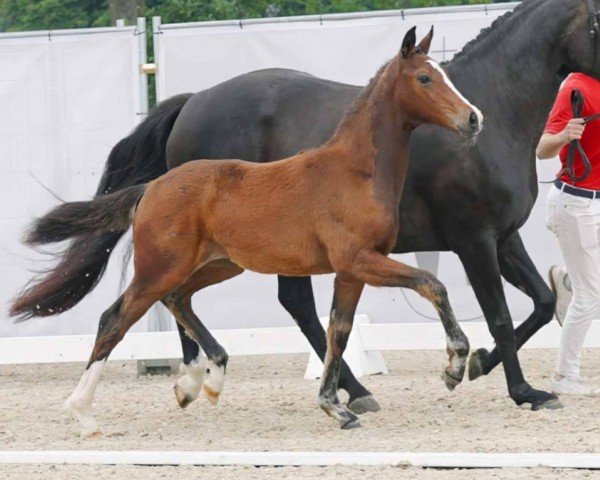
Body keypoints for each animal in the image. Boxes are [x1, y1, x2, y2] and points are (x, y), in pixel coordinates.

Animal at [14, 27, 482, 436]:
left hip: (219, 265)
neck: (356, 172)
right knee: (116, 318)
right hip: (160, 268)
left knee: (178, 298)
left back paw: (204, 381)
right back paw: (85, 414)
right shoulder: (361, 261)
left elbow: (339, 332)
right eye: (424, 77)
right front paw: (454, 367)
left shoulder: (351, 272)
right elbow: (432, 283)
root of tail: (152, 187)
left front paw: (337, 406)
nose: (474, 118)